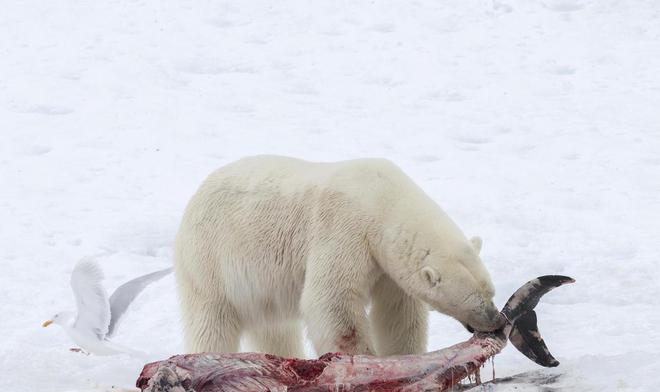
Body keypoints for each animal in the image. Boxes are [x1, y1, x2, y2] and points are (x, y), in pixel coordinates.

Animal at [173, 155, 502, 356]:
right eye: (473, 300)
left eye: (491, 292)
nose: (497, 321)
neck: (381, 200)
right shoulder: (345, 229)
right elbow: (332, 301)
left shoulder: (386, 265)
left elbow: (398, 312)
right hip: (211, 261)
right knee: (211, 324)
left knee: (276, 330)